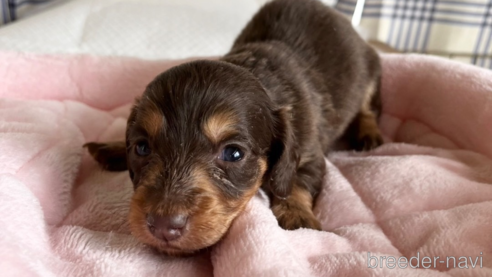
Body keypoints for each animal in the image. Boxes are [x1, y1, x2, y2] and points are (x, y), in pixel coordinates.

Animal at [84, 0, 384, 254]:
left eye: (233, 153)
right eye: (142, 148)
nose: (163, 227)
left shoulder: (309, 150)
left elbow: (295, 182)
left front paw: (295, 214)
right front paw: (114, 146)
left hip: (371, 72)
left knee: (369, 109)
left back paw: (369, 134)